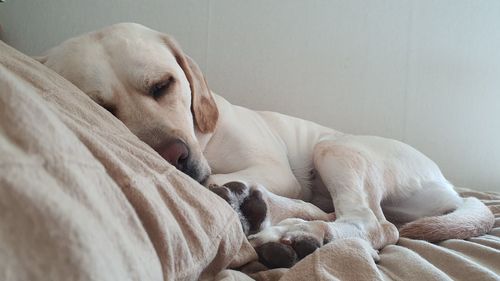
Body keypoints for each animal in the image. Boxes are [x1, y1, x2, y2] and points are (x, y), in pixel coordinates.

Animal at [37, 22, 494, 266]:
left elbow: (224, 177)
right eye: (102, 108)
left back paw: (296, 232)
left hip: (333, 148)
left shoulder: (273, 171)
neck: (204, 138)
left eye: (163, 85)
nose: (173, 156)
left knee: (374, 224)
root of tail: (451, 189)